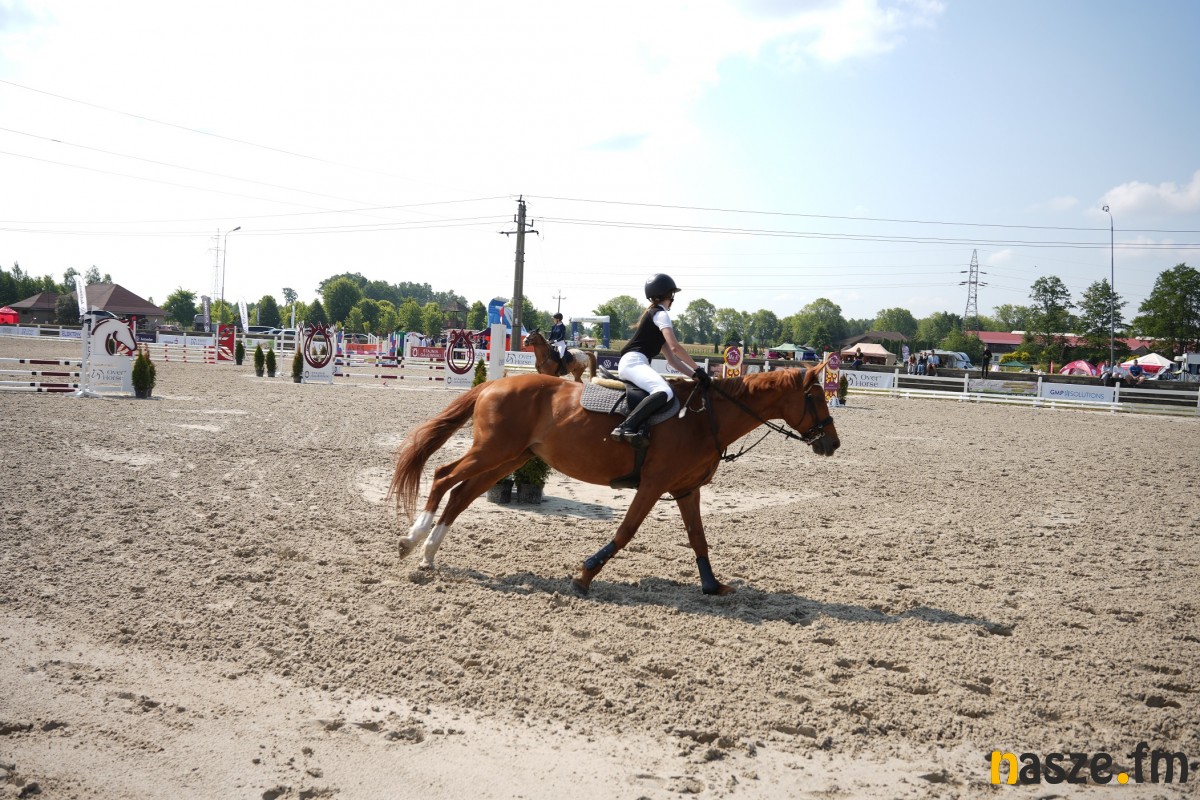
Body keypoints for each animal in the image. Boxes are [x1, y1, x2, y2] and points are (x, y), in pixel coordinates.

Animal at [388, 364, 840, 596]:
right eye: (816, 397)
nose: (832, 443)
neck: (703, 418)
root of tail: (495, 383)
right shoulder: (654, 486)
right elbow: (625, 533)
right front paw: (585, 575)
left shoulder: (686, 489)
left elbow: (698, 538)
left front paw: (712, 585)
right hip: (493, 452)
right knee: (443, 477)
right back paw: (412, 541)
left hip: (507, 459)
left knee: (461, 495)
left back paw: (429, 554)